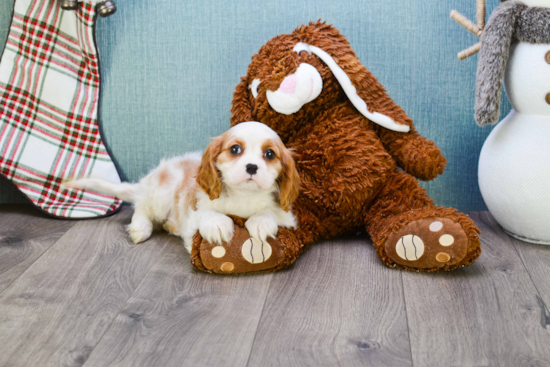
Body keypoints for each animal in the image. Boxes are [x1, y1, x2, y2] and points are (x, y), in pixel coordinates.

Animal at [63, 121, 302, 253]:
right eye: (235, 149)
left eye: (269, 154)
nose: (252, 167)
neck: (244, 196)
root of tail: (145, 183)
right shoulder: (195, 208)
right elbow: (207, 213)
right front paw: (217, 224)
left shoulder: (287, 217)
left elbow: (270, 212)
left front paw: (261, 222)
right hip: (163, 190)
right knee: (142, 208)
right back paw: (141, 227)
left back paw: (171, 226)